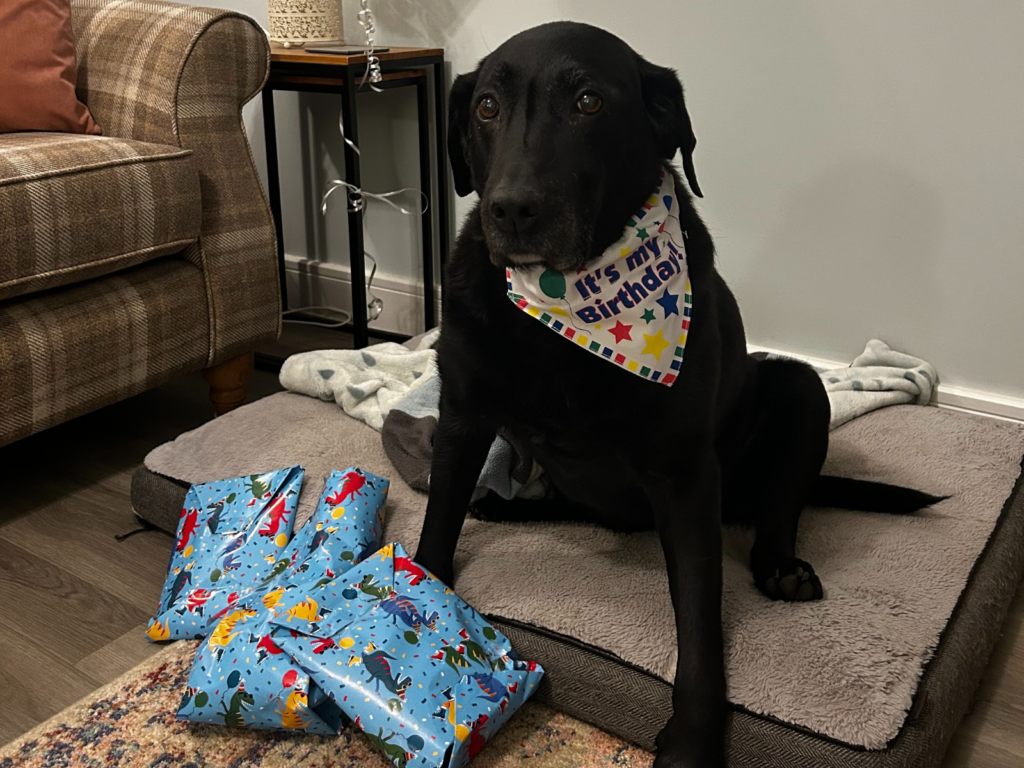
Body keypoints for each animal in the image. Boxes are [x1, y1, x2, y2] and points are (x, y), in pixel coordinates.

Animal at [413, 20, 937, 765]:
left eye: (589, 102)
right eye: (486, 107)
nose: (511, 208)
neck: (565, 304)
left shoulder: (685, 475)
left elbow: (698, 614)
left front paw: (693, 736)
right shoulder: (463, 414)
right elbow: (435, 528)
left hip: (799, 390)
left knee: (780, 507)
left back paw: (781, 566)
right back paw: (513, 506)